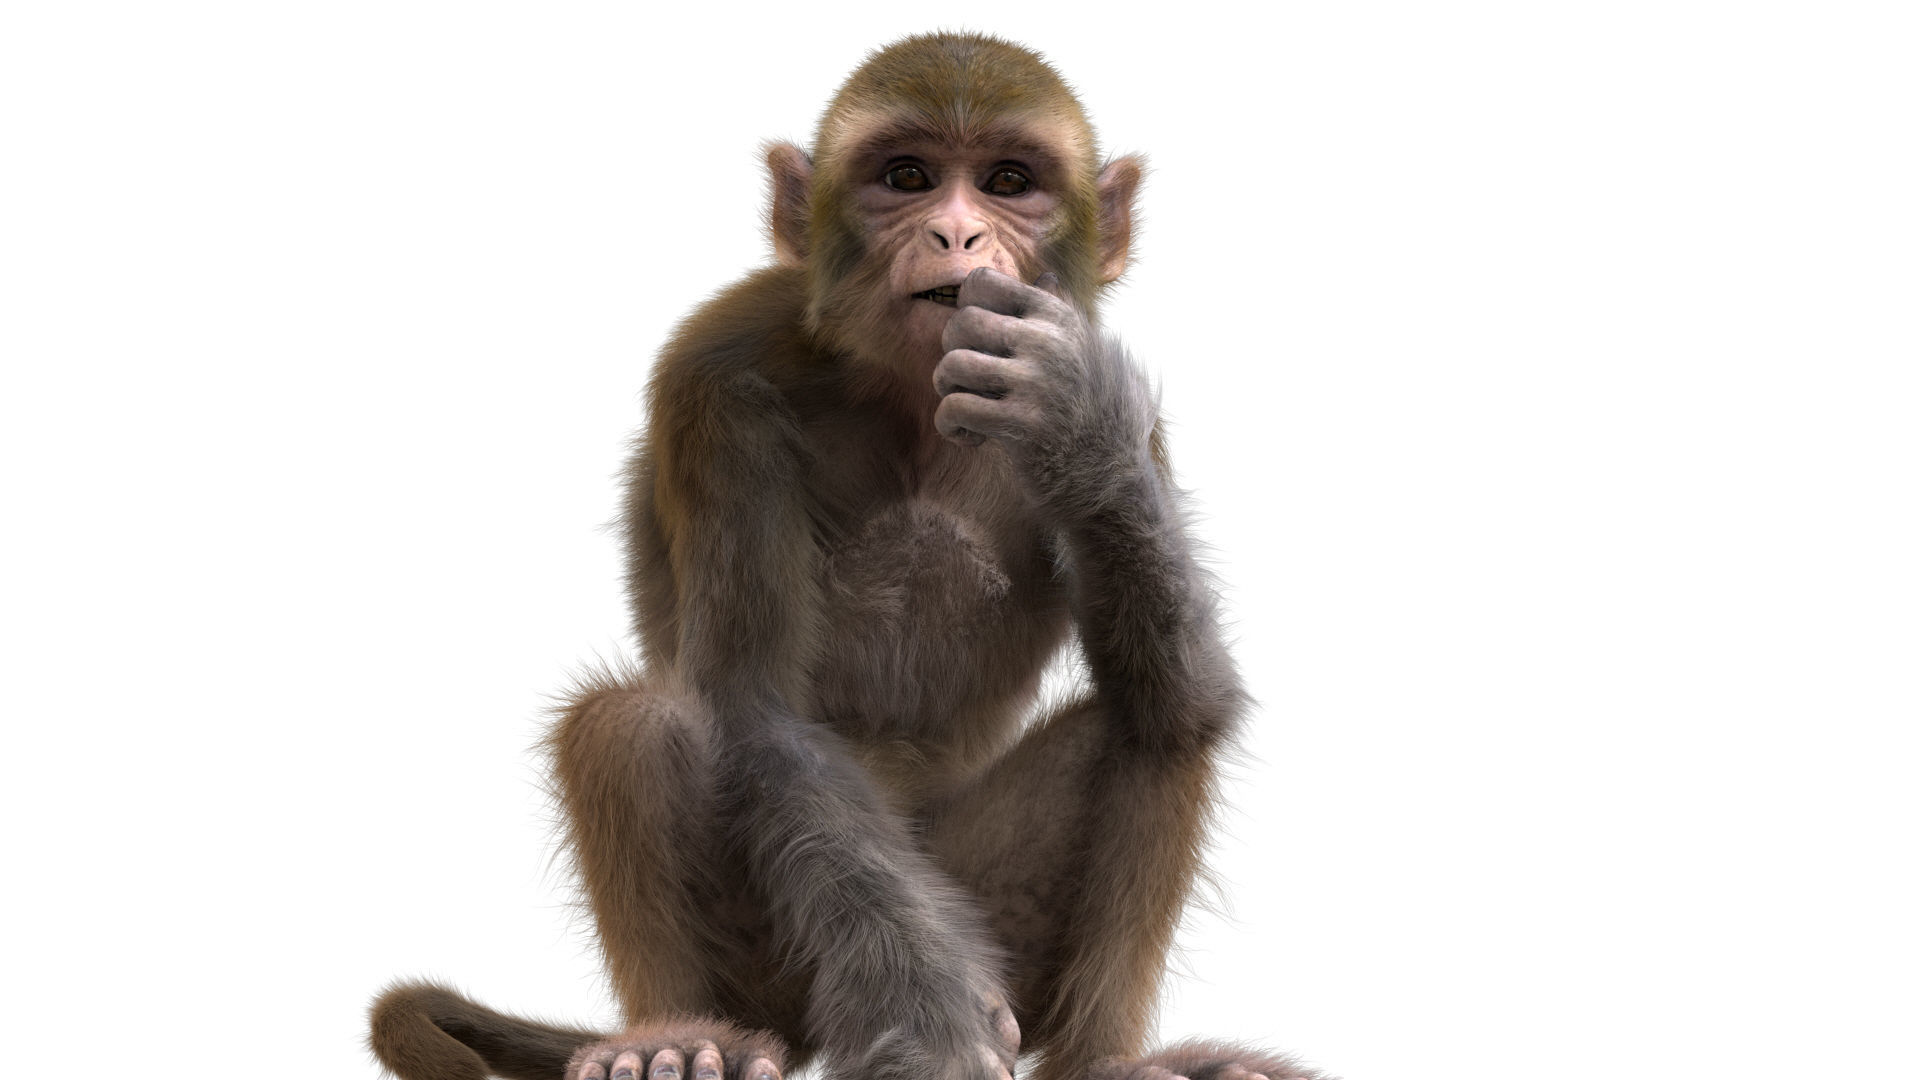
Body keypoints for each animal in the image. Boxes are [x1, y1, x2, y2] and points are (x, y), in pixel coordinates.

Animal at [369, 31, 1329, 1080]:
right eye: (906, 178)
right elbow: (758, 710)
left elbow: (1183, 688)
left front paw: (1073, 426)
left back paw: (1107, 1064)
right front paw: (925, 1012)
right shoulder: (716, 373)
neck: (907, 400)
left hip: (987, 904)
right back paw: (674, 1037)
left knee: (1157, 717)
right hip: (780, 970)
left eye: (1008, 181)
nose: (957, 236)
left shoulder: (1134, 421)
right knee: (633, 724)